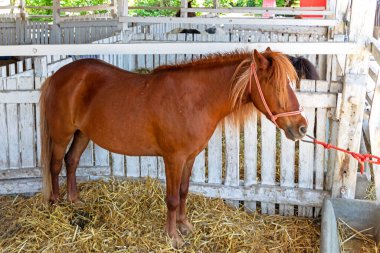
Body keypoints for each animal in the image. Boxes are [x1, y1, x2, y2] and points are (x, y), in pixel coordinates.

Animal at [38, 47, 308, 247]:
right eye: (277, 86)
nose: (302, 128)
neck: (194, 100)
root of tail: (57, 76)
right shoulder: (173, 159)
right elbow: (172, 198)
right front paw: (173, 237)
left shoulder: (189, 157)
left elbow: (184, 191)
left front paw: (184, 226)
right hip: (62, 135)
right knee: (54, 165)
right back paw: (55, 205)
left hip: (82, 133)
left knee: (71, 161)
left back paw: (75, 201)